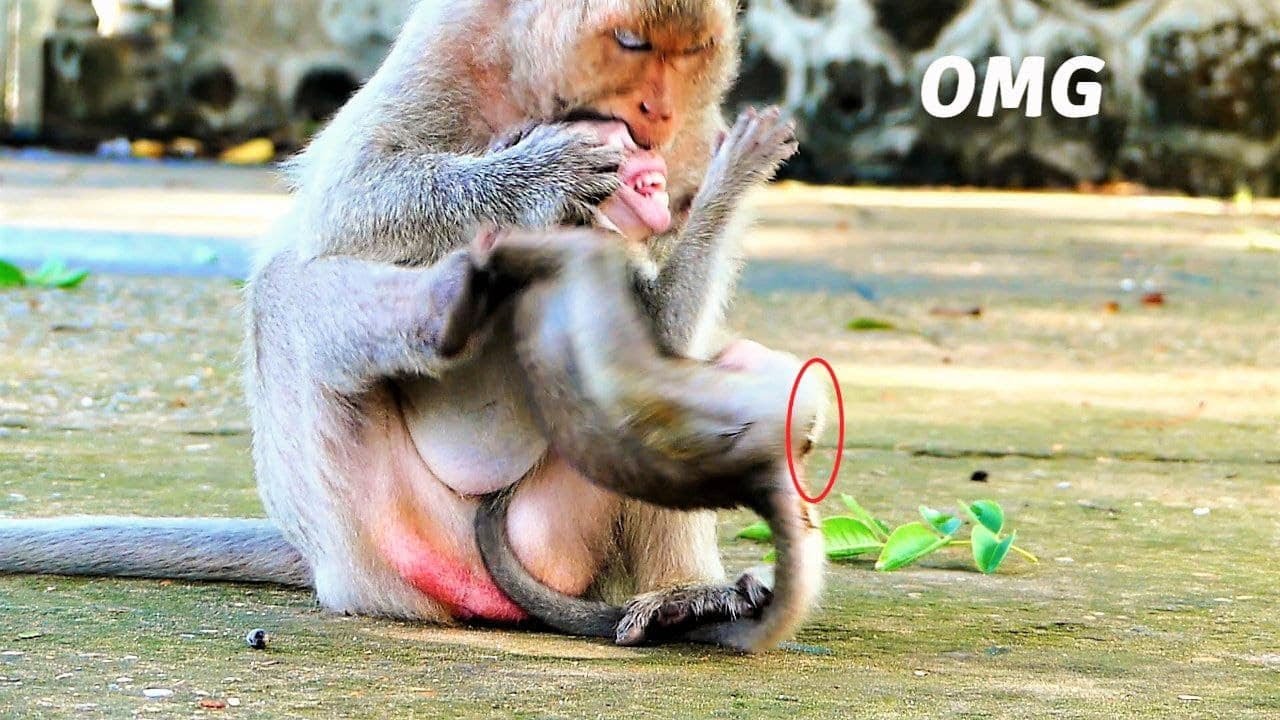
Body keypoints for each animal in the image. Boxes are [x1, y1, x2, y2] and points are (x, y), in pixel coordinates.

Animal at [0, 0, 808, 645]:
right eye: (633, 43)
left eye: (693, 52)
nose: (658, 116)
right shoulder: (451, 43)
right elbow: (350, 197)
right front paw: (540, 177)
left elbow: (661, 337)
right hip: (377, 534)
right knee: (284, 284)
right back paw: (441, 306)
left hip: (546, 532)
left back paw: (685, 597)